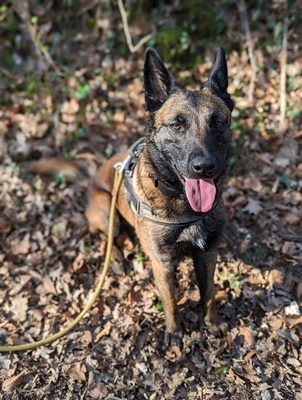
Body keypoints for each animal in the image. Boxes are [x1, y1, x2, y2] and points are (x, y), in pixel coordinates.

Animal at [85, 47, 234, 346]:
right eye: (176, 125)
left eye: (217, 123)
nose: (204, 167)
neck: (184, 207)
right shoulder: (162, 264)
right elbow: (171, 300)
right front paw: (175, 332)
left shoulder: (207, 254)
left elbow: (208, 293)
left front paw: (211, 323)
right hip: (106, 210)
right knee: (108, 237)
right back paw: (117, 258)